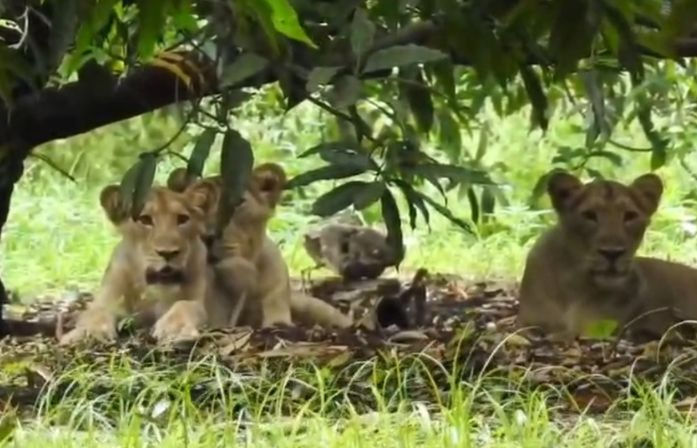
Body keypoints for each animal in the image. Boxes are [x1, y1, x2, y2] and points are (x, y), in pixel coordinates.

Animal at [59, 181, 216, 345]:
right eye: (145, 219)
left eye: (183, 219)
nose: (168, 253)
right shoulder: (108, 296)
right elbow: (96, 311)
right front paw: (90, 332)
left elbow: (186, 305)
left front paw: (174, 329)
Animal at [517, 171, 697, 339]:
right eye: (589, 215)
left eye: (630, 216)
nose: (612, 253)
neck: (576, 285)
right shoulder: (530, 319)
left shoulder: (601, 326)